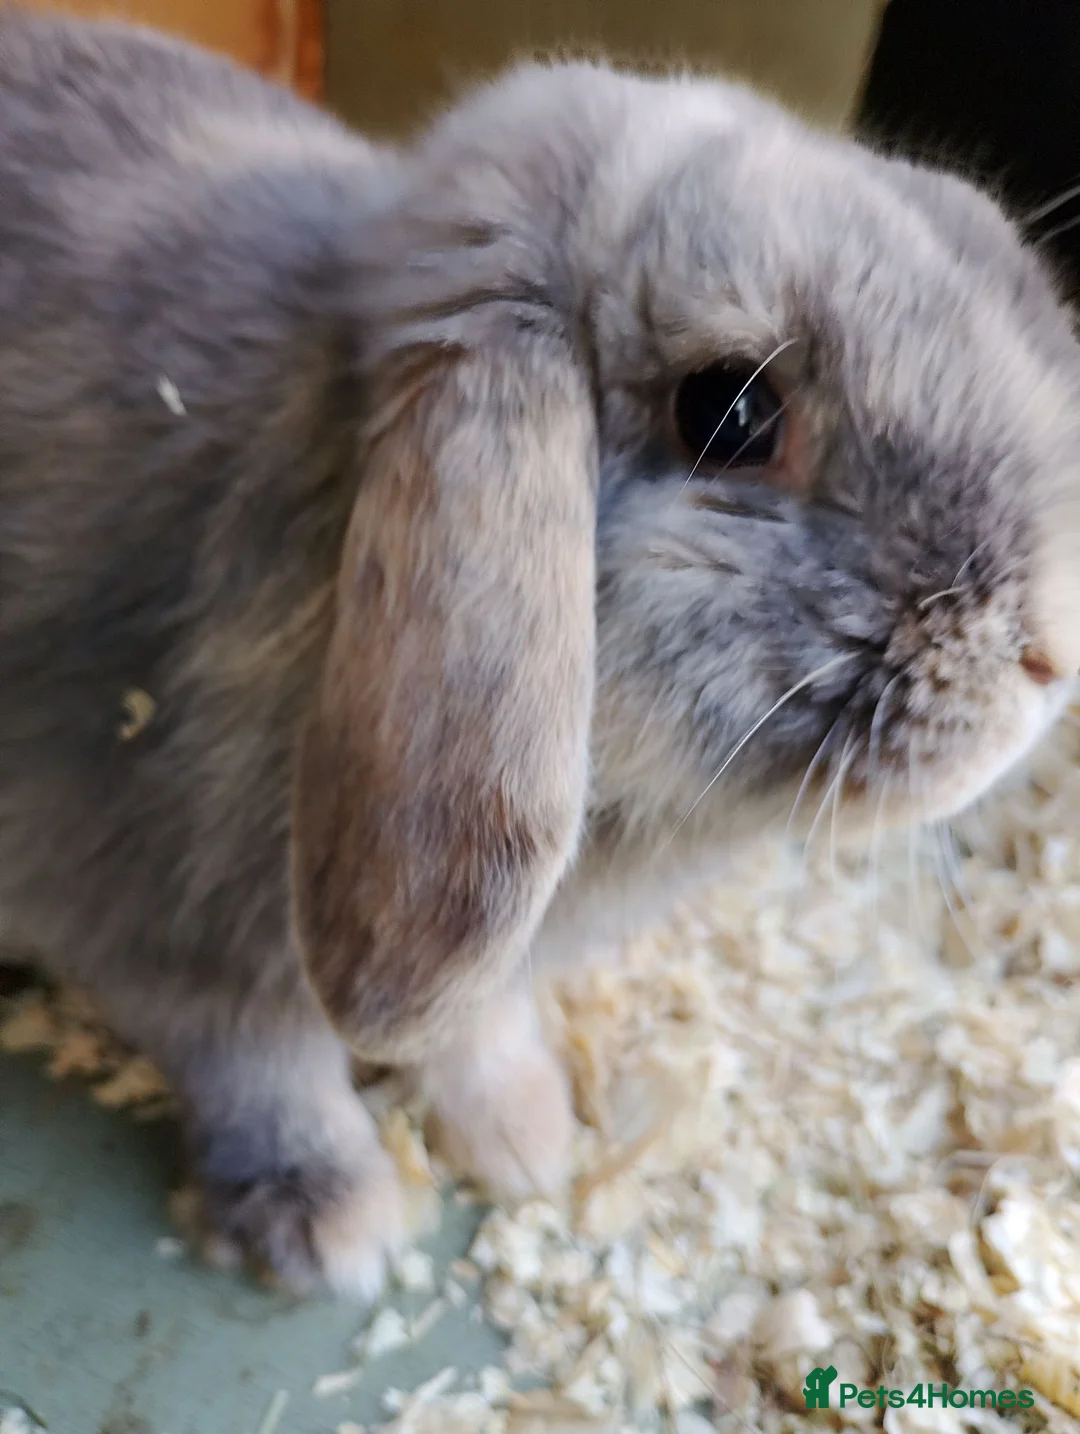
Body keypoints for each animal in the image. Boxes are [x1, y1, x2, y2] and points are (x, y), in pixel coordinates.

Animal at [1, 7, 1079, 1300]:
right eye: (731, 415)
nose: (1048, 652)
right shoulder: (160, 927)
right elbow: (262, 1070)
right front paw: (331, 1228)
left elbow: (477, 1028)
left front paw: (528, 1140)